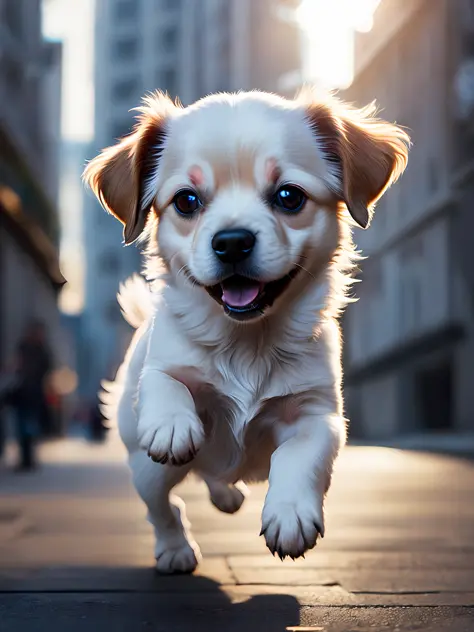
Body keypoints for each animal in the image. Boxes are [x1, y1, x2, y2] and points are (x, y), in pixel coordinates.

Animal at [83, 89, 410, 572]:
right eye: (186, 201)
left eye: (289, 196)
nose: (232, 241)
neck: (247, 342)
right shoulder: (163, 370)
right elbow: (165, 381)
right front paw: (173, 422)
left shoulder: (318, 415)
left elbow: (299, 456)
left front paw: (290, 515)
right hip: (149, 469)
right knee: (163, 506)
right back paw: (176, 549)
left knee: (213, 478)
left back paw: (227, 494)